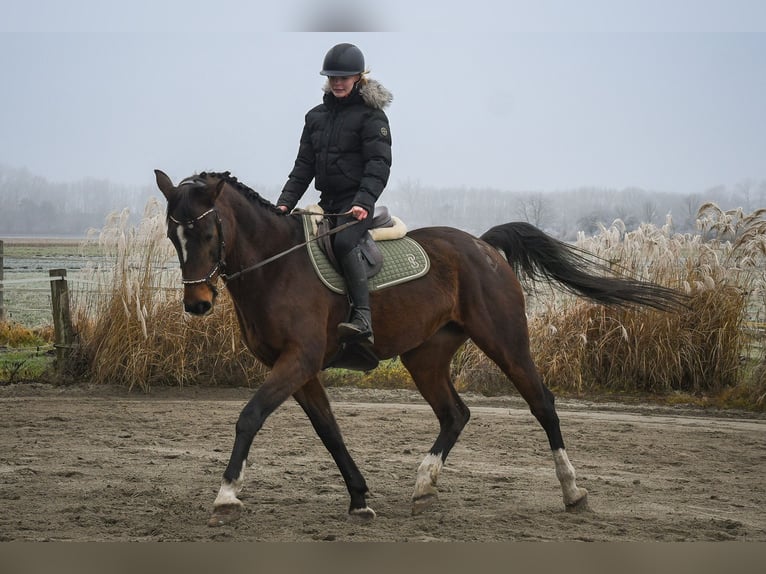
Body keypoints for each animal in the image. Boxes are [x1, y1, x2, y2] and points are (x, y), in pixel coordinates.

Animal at [155, 170, 686, 527]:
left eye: (207, 232)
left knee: (542, 403)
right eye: (171, 234)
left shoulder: (298, 360)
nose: (197, 304)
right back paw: (425, 485)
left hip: (505, 340)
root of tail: (482, 246)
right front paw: (359, 499)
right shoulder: (300, 369)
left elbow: (250, 415)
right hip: (425, 356)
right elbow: (329, 432)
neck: (276, 265)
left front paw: (227, 494)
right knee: (455, 413)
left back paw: (572, 490)